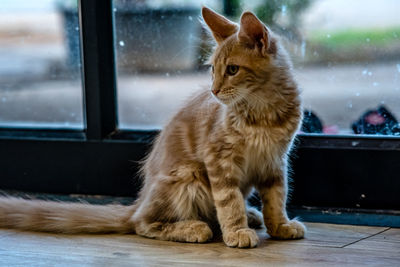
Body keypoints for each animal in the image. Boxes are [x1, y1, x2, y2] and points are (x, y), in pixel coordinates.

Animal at [0, 6, 304, 249]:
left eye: (232, 70)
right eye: (212, 70)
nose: (214, 90)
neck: (263, 113)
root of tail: (141, 198)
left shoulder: (274, 161)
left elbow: (276, 198)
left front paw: (279, 225)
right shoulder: (219, 160)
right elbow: (229, 202)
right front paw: (236, 231)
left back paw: (251, 214)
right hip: (187, 177)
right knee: (143, 224)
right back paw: (195, 227)